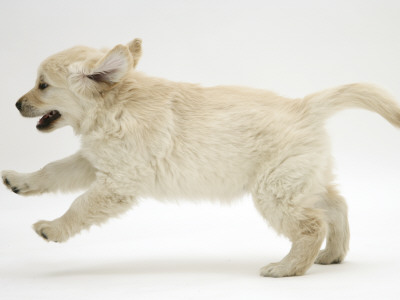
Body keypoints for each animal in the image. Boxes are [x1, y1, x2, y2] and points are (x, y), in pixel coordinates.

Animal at [1, 38, 398, 278]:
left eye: (42, 85)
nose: (17, 104)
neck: (116, 105)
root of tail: (303, 106)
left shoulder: (118, 183)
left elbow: (80, 205)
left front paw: (53, 228)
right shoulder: (93, 160)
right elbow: (53, 170)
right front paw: (20, 181)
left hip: (275, 190)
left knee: (312, 224)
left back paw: (286, 268)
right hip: (300, 180)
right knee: (336, 204)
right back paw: (333, 254)